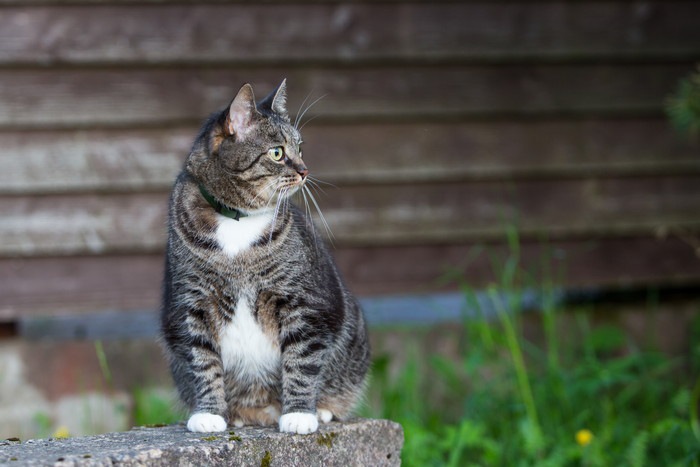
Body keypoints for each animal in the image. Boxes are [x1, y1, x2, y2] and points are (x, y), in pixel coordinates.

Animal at [160, 79, 372, 436]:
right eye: (277, 152)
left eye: (301, 148)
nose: (305, 170)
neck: (237, 219)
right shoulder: (192, 303)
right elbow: (203, 360)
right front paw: (209, 414)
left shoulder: (303, 301)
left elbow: (302, 358)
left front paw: (299, 414)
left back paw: (320, 410)